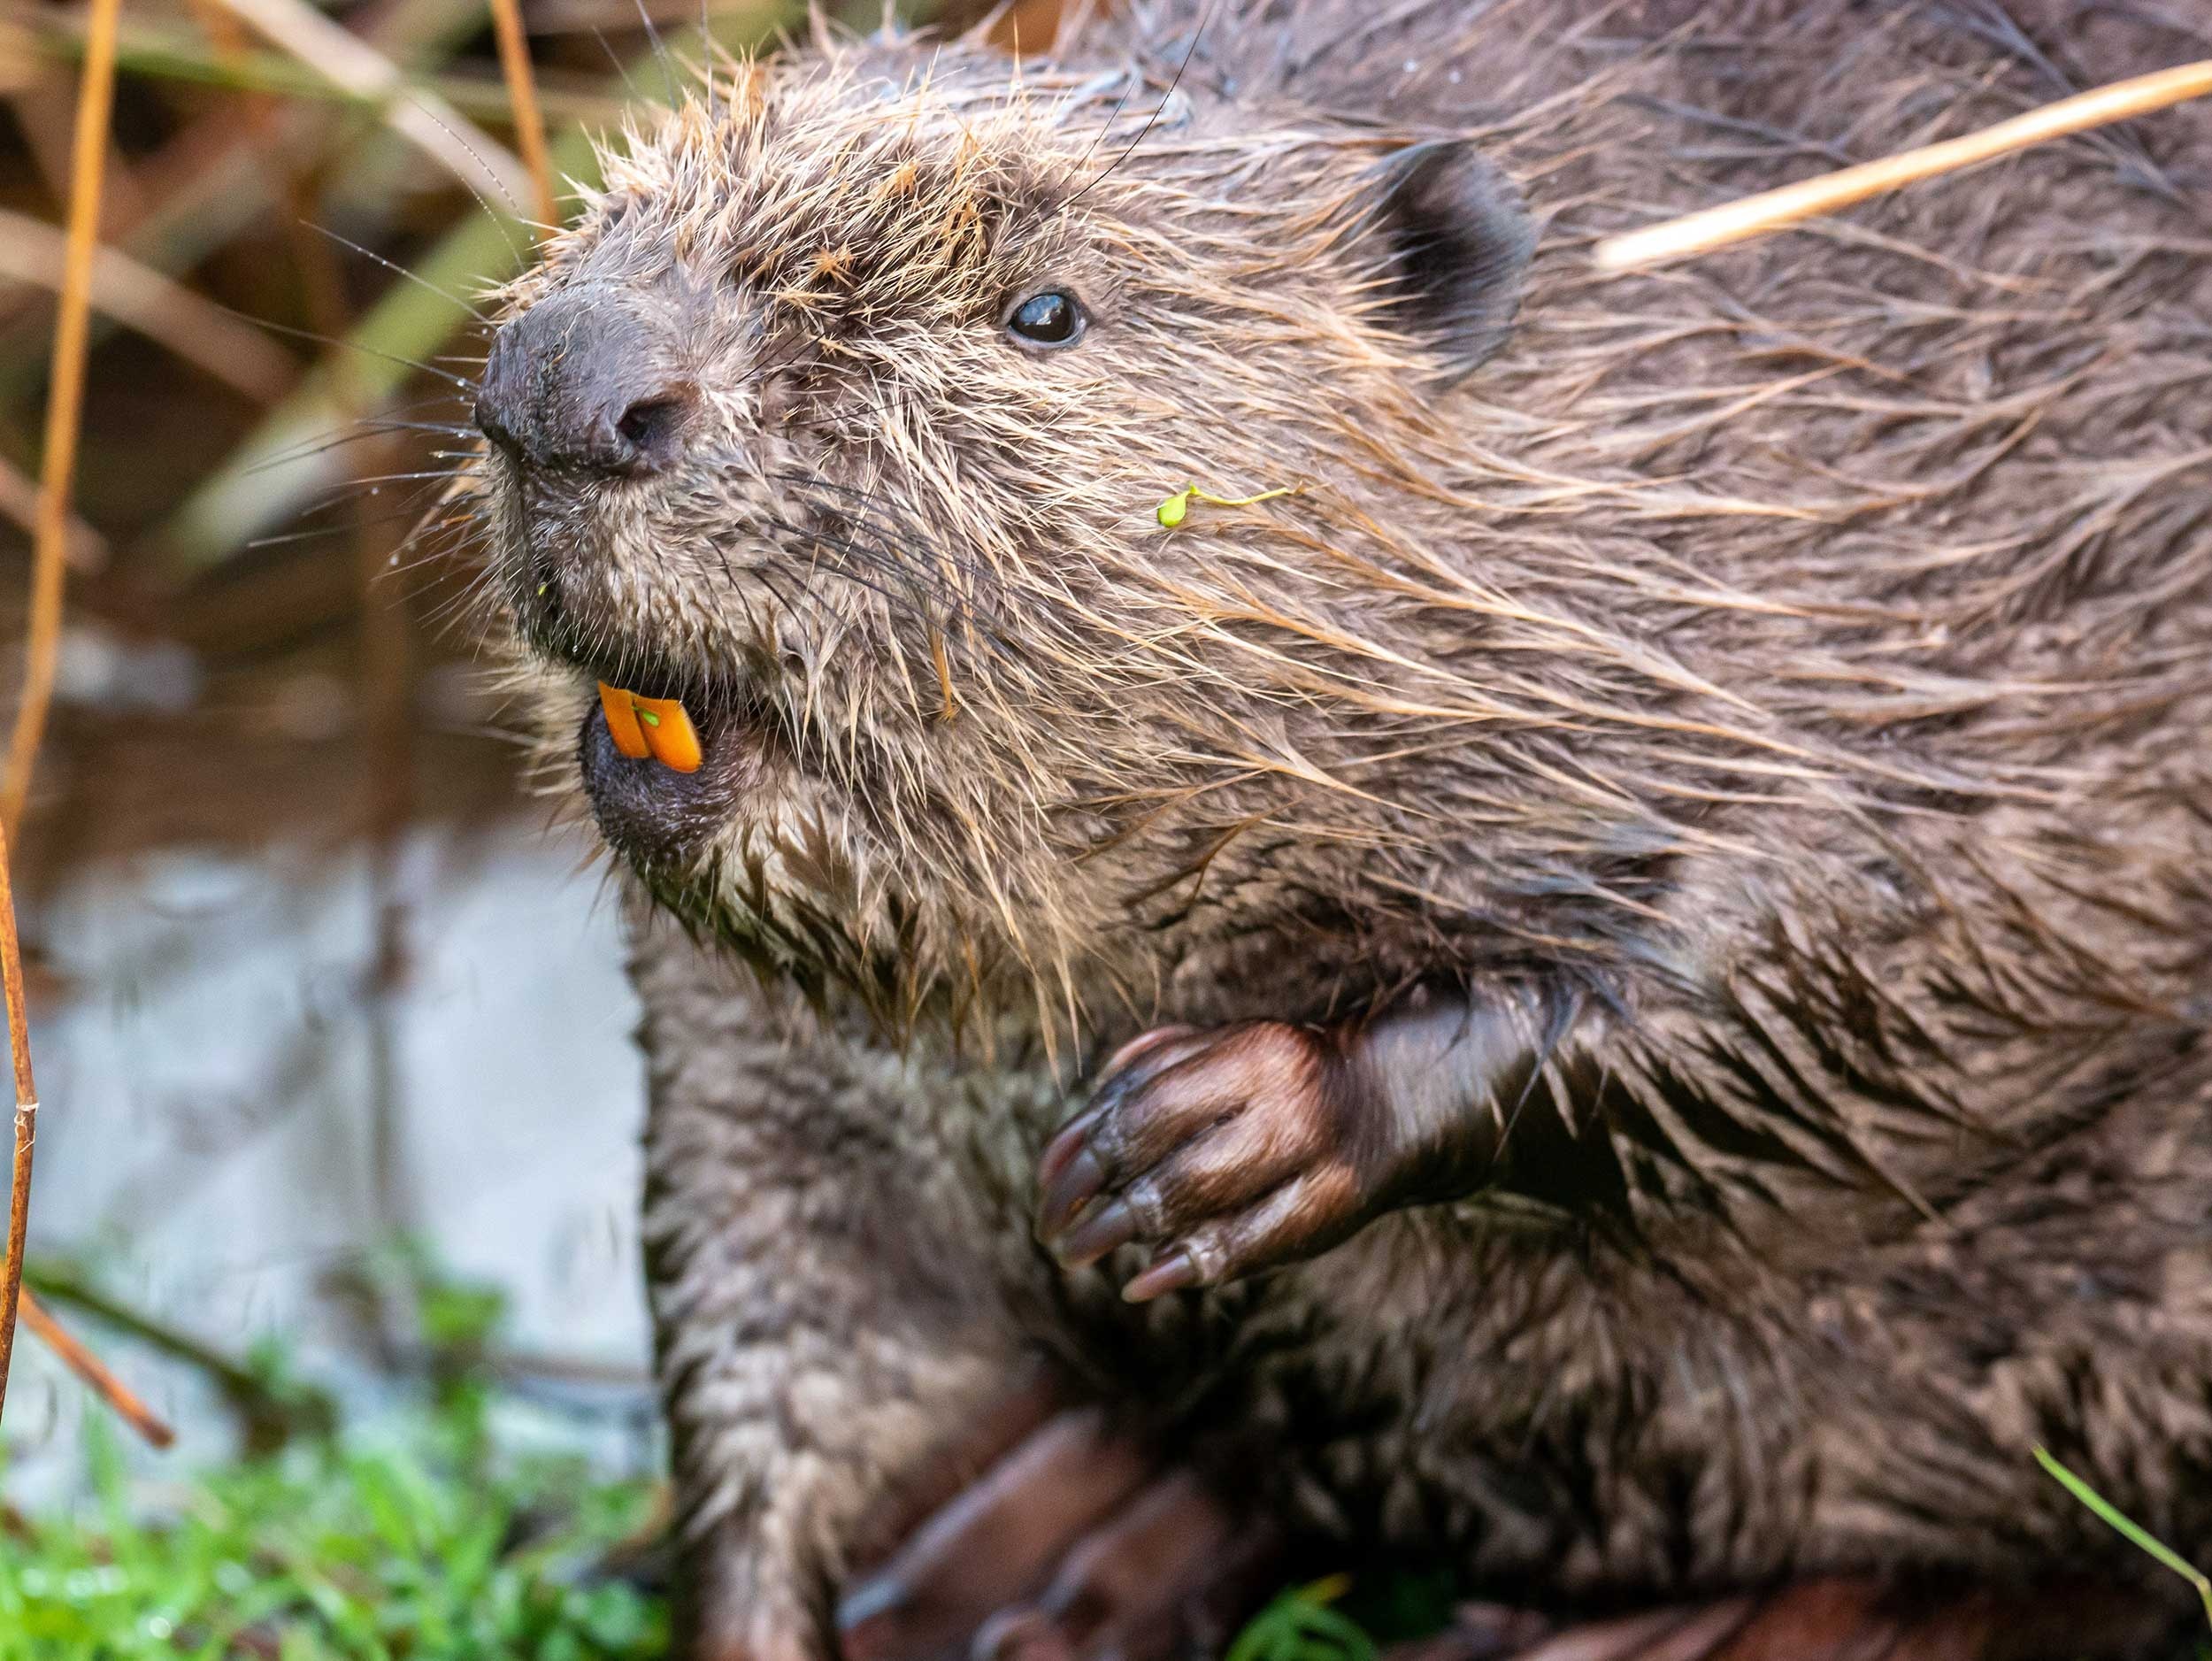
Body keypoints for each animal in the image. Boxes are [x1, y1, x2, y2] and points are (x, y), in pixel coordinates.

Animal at [462, 0, 2212, 1654]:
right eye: (625, 204)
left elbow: (1886, 943)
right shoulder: (750, 1048)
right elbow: (764, 1317)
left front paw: (1202, 1133)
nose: (563, 378)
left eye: (1043, 310)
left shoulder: (1959, 613)